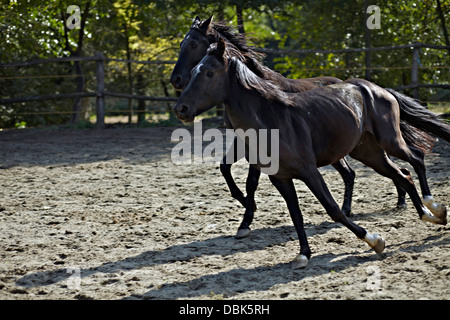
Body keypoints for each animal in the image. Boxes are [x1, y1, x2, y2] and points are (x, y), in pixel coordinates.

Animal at [171, 40, 446, 270]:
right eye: (194, 71)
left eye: (208, 73)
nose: (180, 109)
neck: (271, 120)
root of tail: (376, 88)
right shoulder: (280, 178)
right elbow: (296, 215)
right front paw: (303, 254)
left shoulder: (309, 171)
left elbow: (332, 209)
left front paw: (374, 240)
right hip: (369, 152)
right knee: (403, 175)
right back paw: (429, 215)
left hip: (389, 141)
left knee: (415, 159)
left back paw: (434, 207)